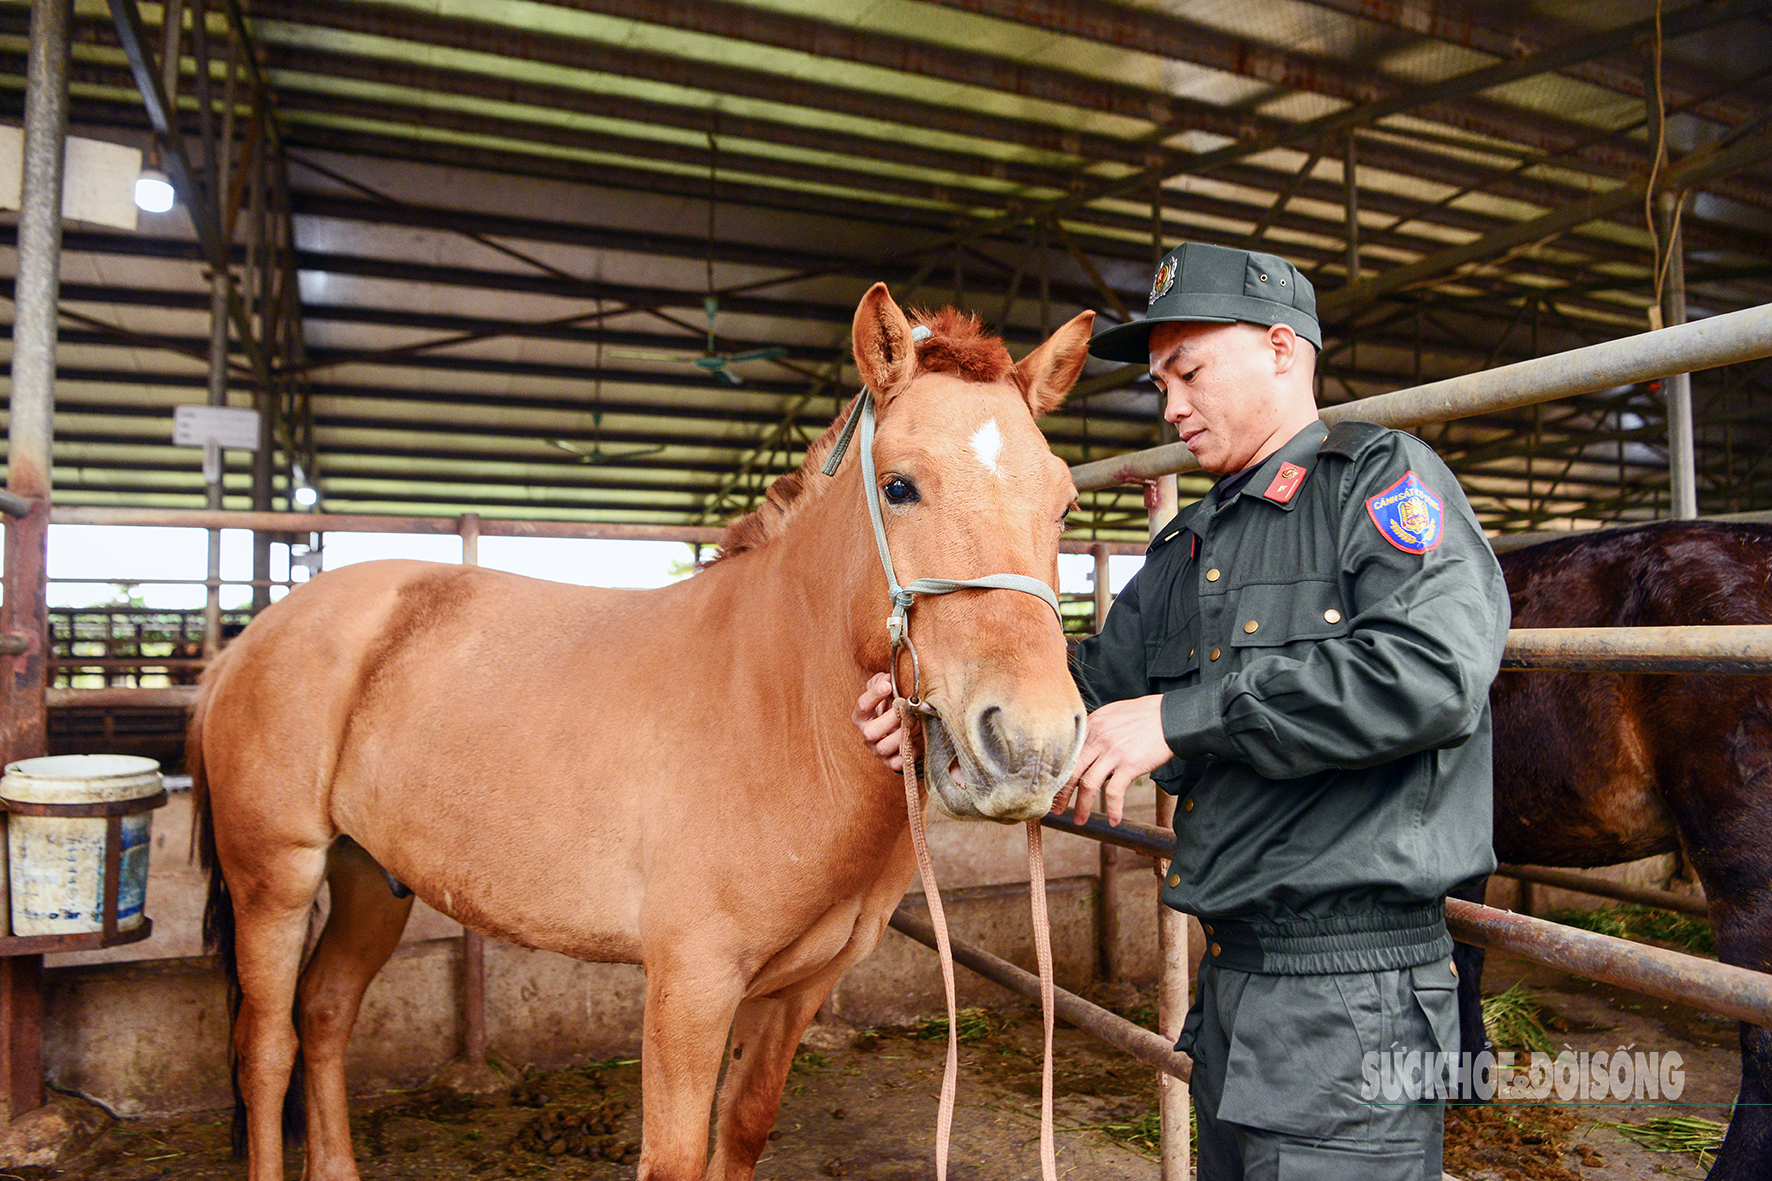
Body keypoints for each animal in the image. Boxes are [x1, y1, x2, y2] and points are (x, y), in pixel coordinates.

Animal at [190, 285, 1091, 1177]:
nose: (1031, 743)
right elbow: (678, 1154)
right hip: (276, 880)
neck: (776, 706)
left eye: (1064, 503)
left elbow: (744, 1128)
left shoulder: (796, 992)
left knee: (325, 1010)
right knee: (266, 1049)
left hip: (370, 876)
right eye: (900, 486)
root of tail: (247, 640)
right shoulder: (689, 988)